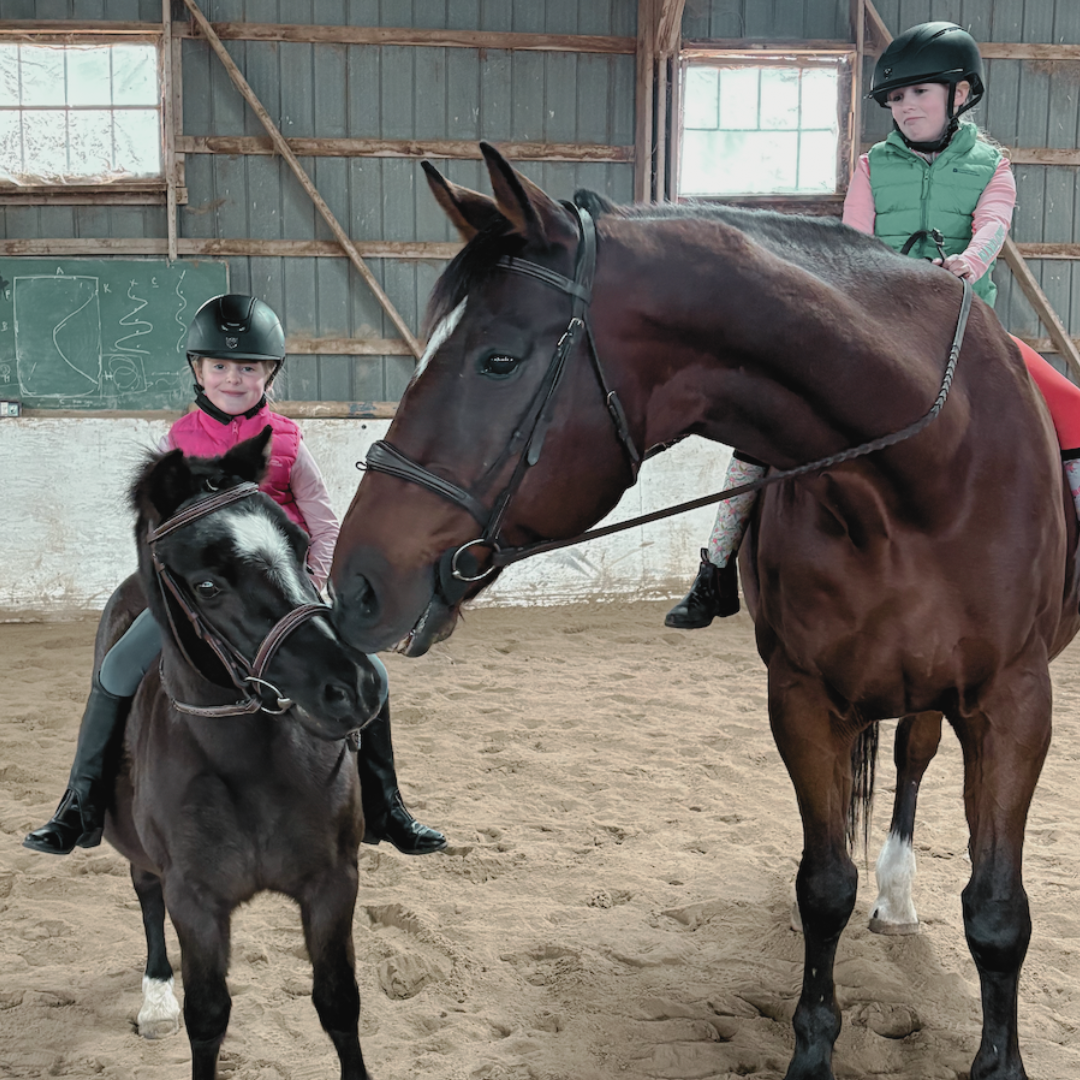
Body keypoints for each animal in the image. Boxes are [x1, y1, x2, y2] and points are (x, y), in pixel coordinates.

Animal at [96, 428, 386, 1080]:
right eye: (208, 586)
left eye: (301, 548)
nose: (354, 686)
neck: (249, 765)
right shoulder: (194, 899)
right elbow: (208, 1019)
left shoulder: (334, 883)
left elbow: (339, 1003)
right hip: (144, 860)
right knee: (145, 896)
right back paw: (157, 995)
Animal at [327, 142, 1080, 1080]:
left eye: (497, 360)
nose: (354, 585)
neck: (921, 474)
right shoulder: (804, 698)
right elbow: (823, 887)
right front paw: (812, 1048)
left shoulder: (1014, 705)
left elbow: (999, 911)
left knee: (915, 757)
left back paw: (901, 894)